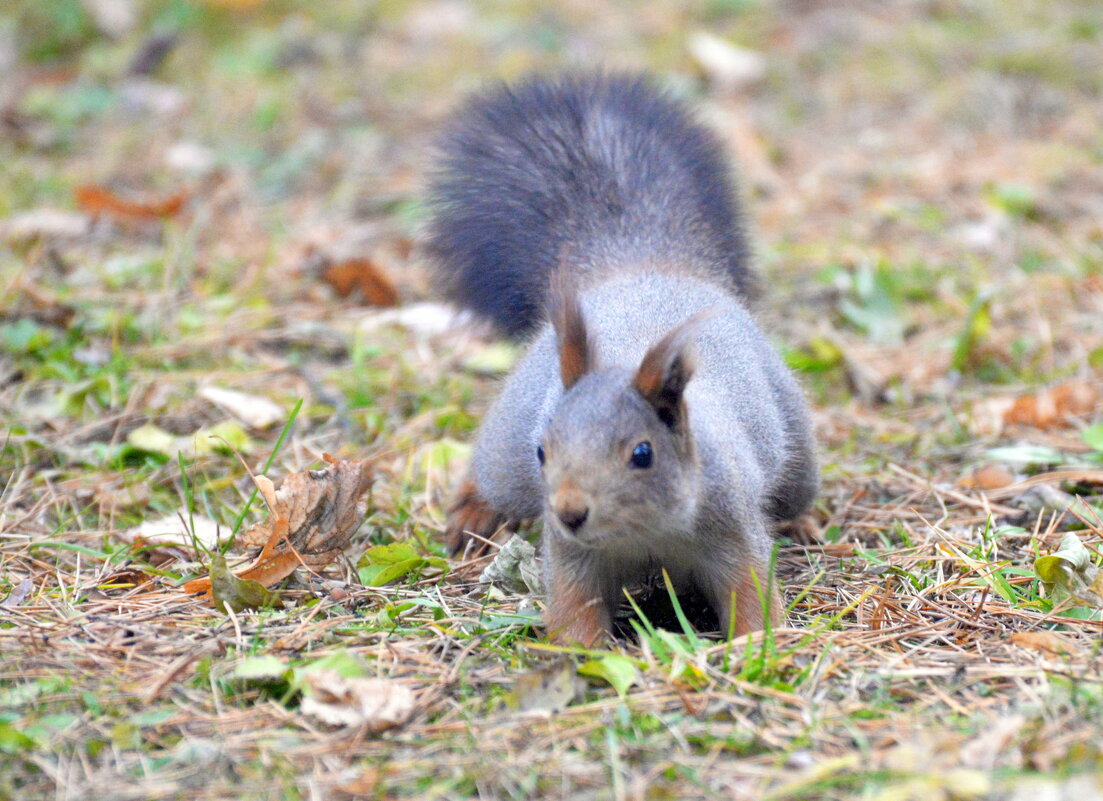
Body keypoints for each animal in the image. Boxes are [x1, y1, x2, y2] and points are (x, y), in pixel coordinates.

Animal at [421, 73, 820, 644]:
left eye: (642, 454)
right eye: (543, 450)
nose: (570, 511)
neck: (640, 535)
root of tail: (638, 266)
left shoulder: (732, 526)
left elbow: (749, 591)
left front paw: (756, 643)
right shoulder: (570, 553)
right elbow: (573, 604)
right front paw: (579, 651)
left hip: (796, 452)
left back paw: (801, 522)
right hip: (509, 454)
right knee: (490, 472)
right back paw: (472, 516)